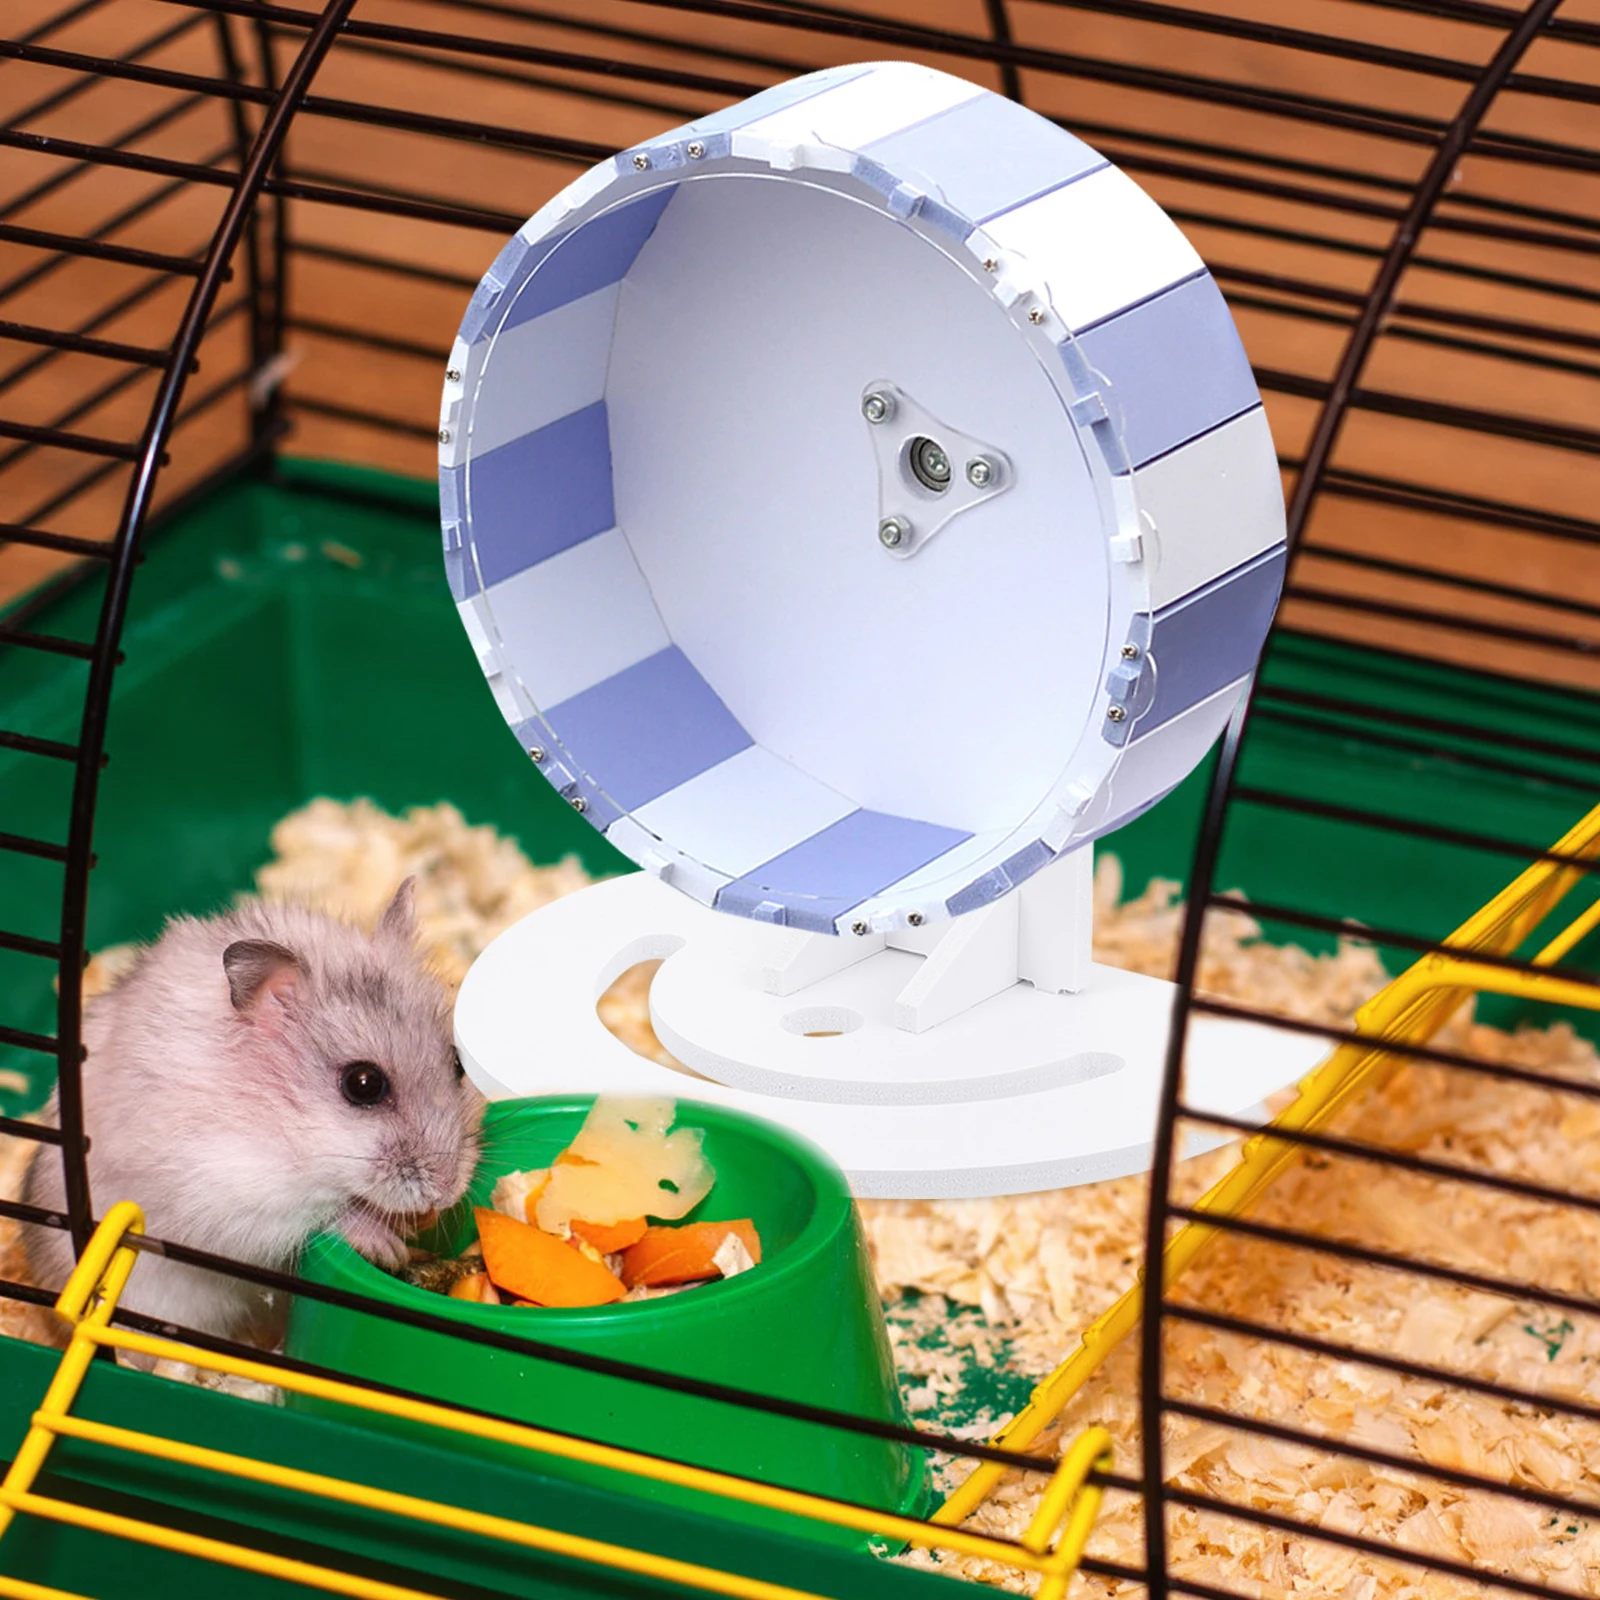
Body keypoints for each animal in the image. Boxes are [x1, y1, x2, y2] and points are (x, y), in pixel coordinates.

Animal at [22, 877, 483, 1350]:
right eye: (363, 1084)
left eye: (458, 1063)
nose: (446, 1193)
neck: (281, 1118)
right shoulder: (234, 1193)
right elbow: (325, 1215)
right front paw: (389, 1245)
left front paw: (420, 1223)